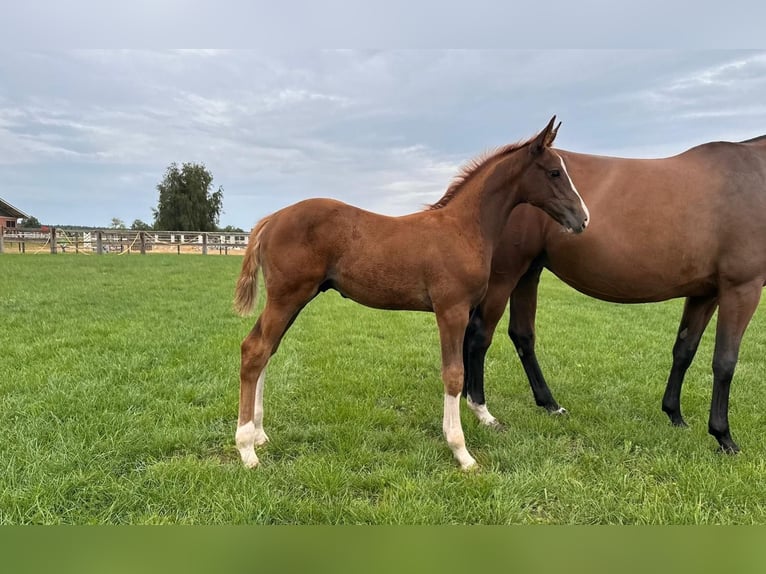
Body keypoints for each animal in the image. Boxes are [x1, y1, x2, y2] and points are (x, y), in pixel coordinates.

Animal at [232, 116, 589, 470]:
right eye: (554, 172)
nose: (582, 219)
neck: (463, 228)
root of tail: (273, 218)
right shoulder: (451, 310)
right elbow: (454, 375)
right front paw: (461, 452)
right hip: (287, 297)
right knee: (255, 351)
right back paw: (247, 449)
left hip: (294, 299)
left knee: (266, 349)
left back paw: (260, 435)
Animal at [462, 133, 766, 453]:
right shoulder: (741, 288)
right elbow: (725, 361)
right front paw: (724, 437)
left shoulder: (705, 293)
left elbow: (684, 349)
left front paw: (675, 415)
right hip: (505, 275)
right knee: (479, 334)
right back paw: (482, 410)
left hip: (528, 274)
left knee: (521, 335)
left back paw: (550, 404)